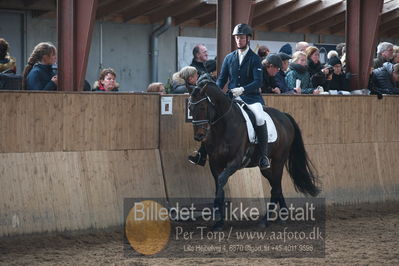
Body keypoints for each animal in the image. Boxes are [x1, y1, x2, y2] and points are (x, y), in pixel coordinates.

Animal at [188, 82, 322, 230]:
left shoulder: (235, 162)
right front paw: (219, 222)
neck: (223, 127)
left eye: (202, 107)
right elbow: (219, 184)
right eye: (190, 108)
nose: (199, 136)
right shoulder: (214, 162)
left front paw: (217, 215)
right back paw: (283, 215)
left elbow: (222, 180)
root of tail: (284, 116)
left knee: (275, 187)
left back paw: (265, 220)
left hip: (279, 159)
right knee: (276, 184)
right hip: (264, 166)